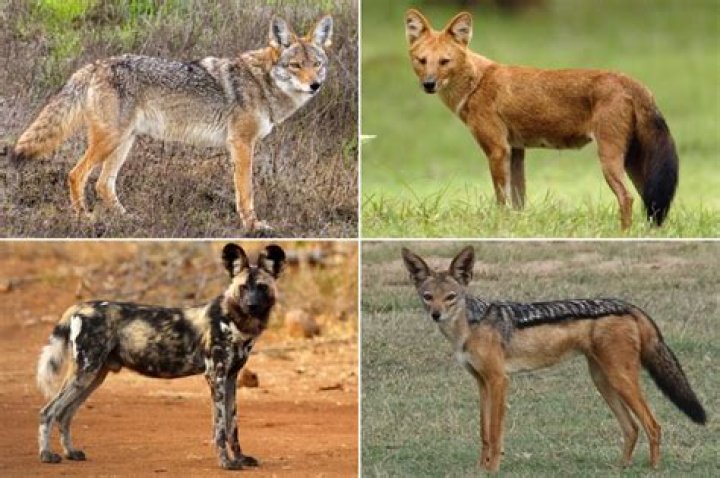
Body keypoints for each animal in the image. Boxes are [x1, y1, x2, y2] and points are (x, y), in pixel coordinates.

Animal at [11, 15, 333, 232]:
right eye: (295, 65)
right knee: (76, 175)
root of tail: (95, 65)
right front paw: (253, 226)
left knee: (103, 184)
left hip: (124, 143)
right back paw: (84, 219)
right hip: (111, 141)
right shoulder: (241, 144)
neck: (262, 82)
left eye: (316, 64)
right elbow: (246, 192)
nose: (315, 85)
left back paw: (127, 219)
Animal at [36, 243, 286, 469]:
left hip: (94, 376)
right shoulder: (216, 377)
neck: (235, 322)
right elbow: (220, 428)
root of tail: (80, 306)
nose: (252, 305)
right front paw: (226, 462)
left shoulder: (231, 378)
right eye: (243, 288)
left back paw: (70, 452)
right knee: (49, 411)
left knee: (64, 414)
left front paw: (241, 459)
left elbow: (232, 425)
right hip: (85, 373)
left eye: (261, 287)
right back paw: (46, 455)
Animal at [401, 246, 706, 472]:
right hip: (603, 382)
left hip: (620, 380)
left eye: (451, 297)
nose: (436, 315)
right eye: (428, 297)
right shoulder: (482, 384)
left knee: (653, 425)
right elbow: (484, 433)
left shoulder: (499, 380)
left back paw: (652, 469)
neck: (468, 328)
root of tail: (627, 305)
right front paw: (480, 469)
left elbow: (496, 433)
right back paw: (621, 468)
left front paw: (492, 470)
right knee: (632, 428)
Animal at [404, 10, 678, 229]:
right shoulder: (516, 150)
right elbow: (519, 201)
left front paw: (500, 227)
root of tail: (630, 81)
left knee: (627, 197)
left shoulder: (497, 150)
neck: (476, 83)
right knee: (651, 201)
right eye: (421, 61)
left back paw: (624, 234)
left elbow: (501, 199)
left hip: (610, 157)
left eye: (444, 61)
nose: (428, 84)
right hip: (634, 162)